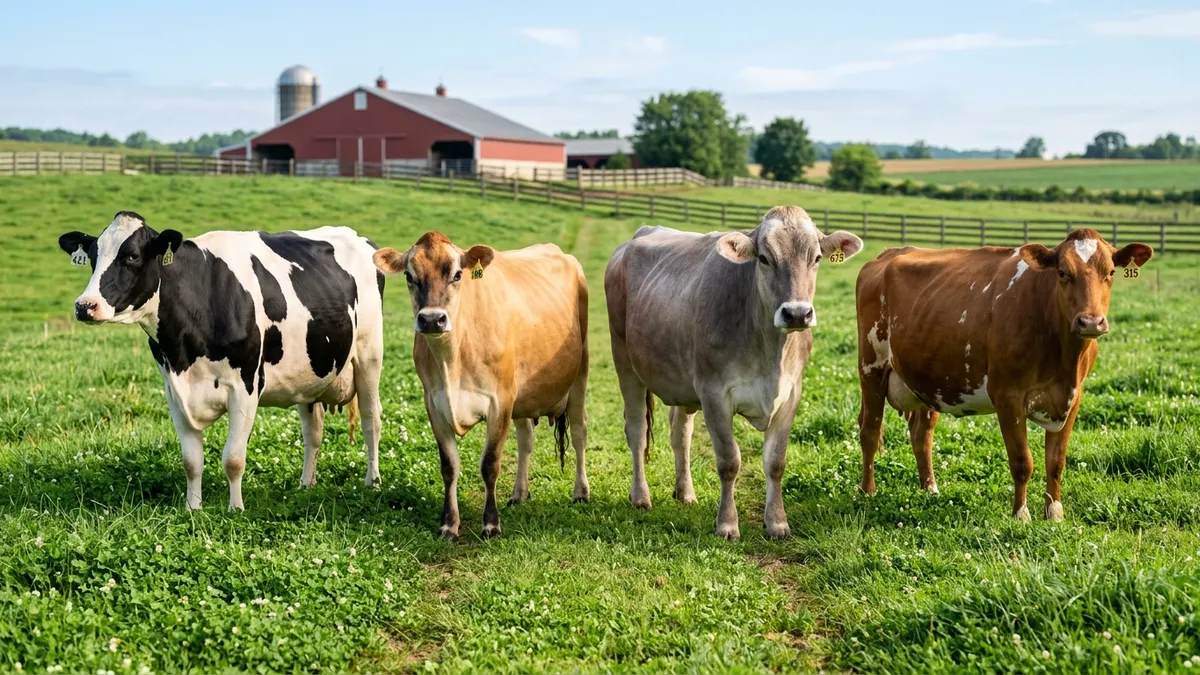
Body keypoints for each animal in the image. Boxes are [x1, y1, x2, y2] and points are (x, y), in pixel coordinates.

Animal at [58, 211, 385, 510]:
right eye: (92, 255)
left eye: (132, 256)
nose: (85, 306)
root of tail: (359, 237)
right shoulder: (174, 391)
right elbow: (191, 460)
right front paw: (193, 508)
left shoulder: (245, 387)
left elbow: (233, 459)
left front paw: (235, 509)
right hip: (311, 372)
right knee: (313, 430)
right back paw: (306, 484)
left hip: (369, 354)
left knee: (371, 418)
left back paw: (373, 481)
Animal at [372, 232, 589, 539]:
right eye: (409, 275)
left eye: (457, 274)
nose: (432, 319)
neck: (452, 359)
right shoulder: (434, 404)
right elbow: (449, 466)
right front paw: (449, 524)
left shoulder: (500, 401)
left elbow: (490, 464)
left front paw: (490, 524)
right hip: (522, 395)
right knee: (526, 440)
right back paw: (519, 493)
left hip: (580, 373)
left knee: (580, 432)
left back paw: (581, 492)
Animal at [604, 206, 864, 540]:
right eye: (764, 258)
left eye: (817, 257)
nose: (796, 313)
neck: (770, 353)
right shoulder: (714, 393)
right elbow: (729, 461)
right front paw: (727, 524)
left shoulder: (791, 394)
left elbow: (776, 462)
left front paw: (777, 522)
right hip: (624, 360)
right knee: (636, 430)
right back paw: (640, 496)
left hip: (682, 381)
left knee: (680, 433)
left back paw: (685, 492)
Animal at [854, 229, 1153, 521]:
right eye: (1062, 272)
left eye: (1111, 272)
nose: (1090, 322)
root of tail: (888, 254)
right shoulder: (1008, 397)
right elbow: (1022, 461)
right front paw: (1021, 514)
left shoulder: (1073, 397)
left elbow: (1056, 462)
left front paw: (1055, 513)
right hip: (871, 367)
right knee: (870, 430)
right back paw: (868, 491)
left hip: (928, 379)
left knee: (921, 434)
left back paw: (930, 488)